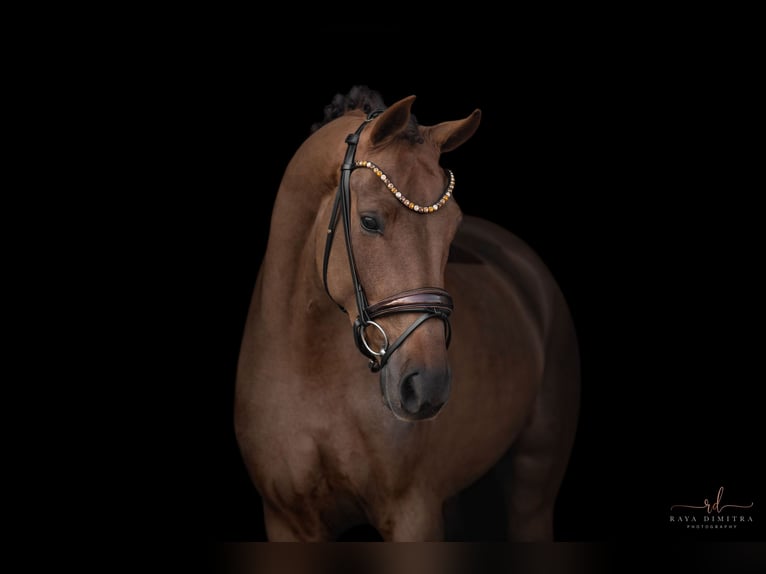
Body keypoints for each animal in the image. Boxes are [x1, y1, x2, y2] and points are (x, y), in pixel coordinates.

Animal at [236, 86, 584, 544]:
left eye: (452, 229)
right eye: (369, 221)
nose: (427, 385)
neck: (312, 370)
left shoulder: (412, 514)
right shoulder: (287, 521)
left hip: (533, 488)